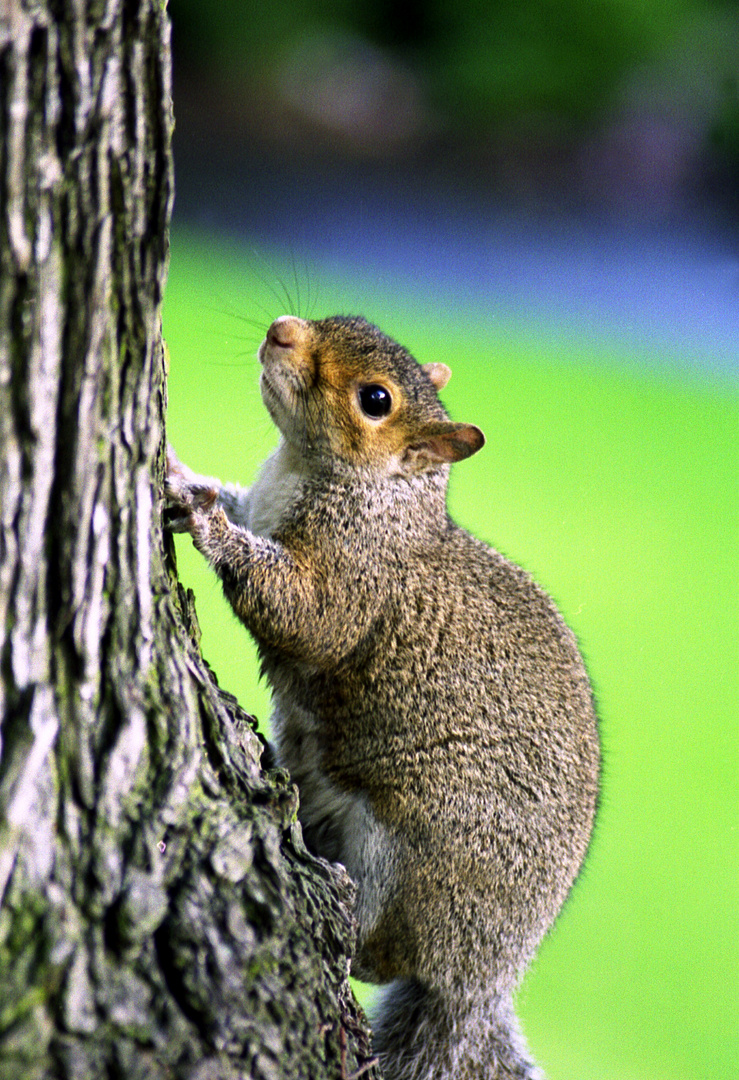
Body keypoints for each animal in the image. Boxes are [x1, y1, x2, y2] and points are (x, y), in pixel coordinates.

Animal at [166, 315, 600, 1080]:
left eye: (375, 400)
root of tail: (480, 979)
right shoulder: (264, 503)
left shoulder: (352, 579)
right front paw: (175, 468)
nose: (282, 329)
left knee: (377, 955)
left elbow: (304, 615)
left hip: (407, 859)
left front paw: (205, 521)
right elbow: (236, 500)